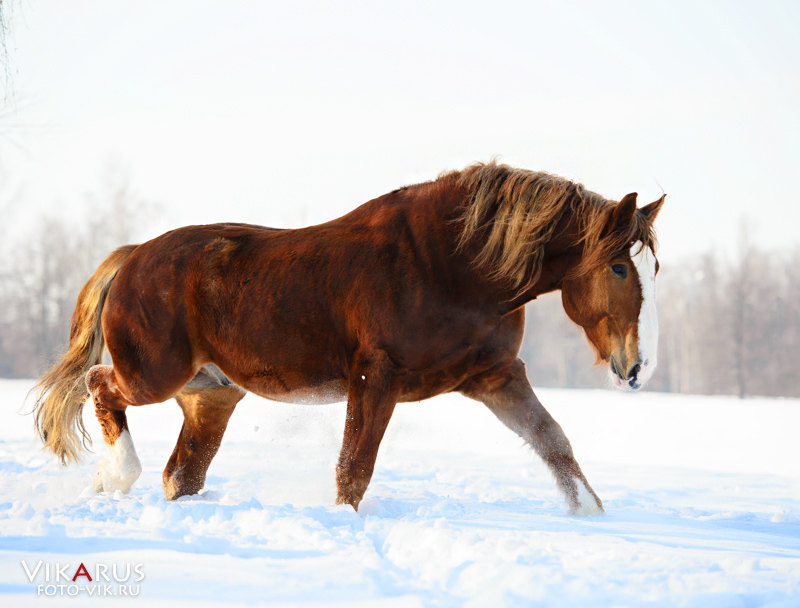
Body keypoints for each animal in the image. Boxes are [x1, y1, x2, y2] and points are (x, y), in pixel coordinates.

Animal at [32, 162, 664, 512]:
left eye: (649, 268)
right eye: (618, 267)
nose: (638, 368)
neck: (452, 266)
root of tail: (134, 255)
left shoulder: (495, 376)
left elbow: (554, 442)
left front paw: (593, 515)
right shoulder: (374, 378)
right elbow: (353, 469)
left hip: (211, 394)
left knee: (180, 475)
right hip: (154, 375)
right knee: (100, 385)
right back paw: (114, 476)